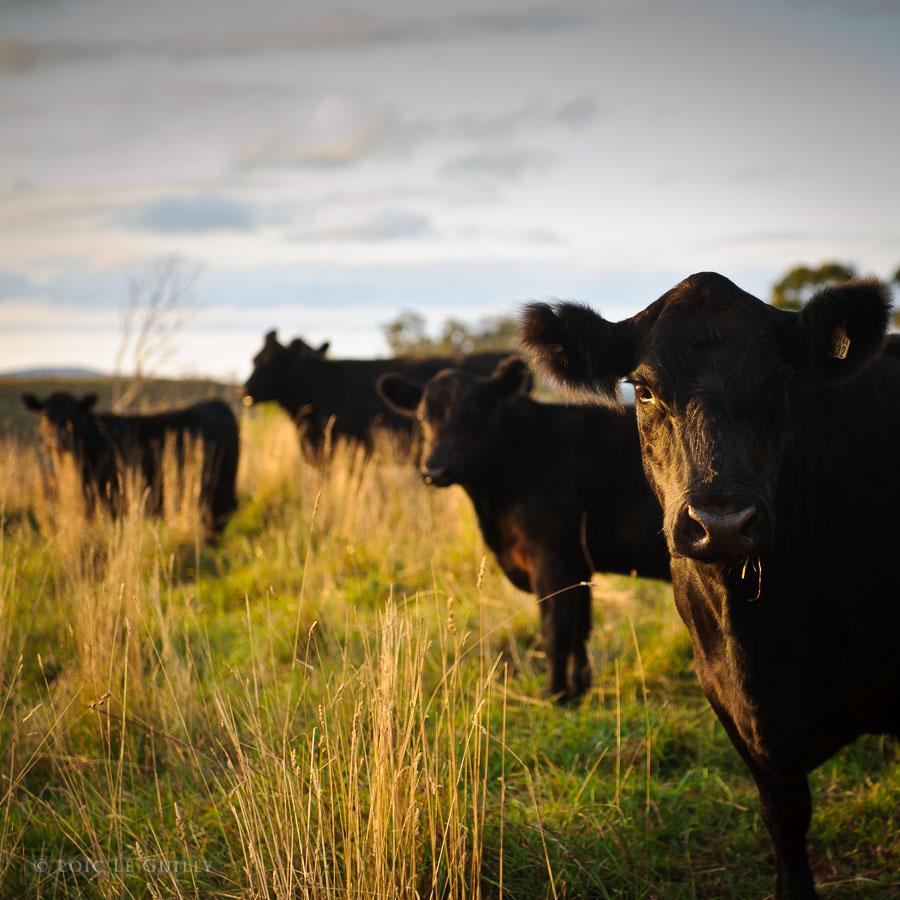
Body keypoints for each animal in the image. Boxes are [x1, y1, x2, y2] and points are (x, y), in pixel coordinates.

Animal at [24, 394, 241, 536]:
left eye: (72, 417)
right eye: (45, 416)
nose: (57, 441)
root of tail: (217, 404)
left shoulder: (111, 498)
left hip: (219, 486)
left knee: (220, 514)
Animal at [374, 356, 668, 704]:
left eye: (474, 414)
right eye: (422, 416)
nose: (434, 469)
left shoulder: (551, 557)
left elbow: (554, 630)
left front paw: (555, 695)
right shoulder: (578, 564)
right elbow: (579, 629)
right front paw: (579, 691)